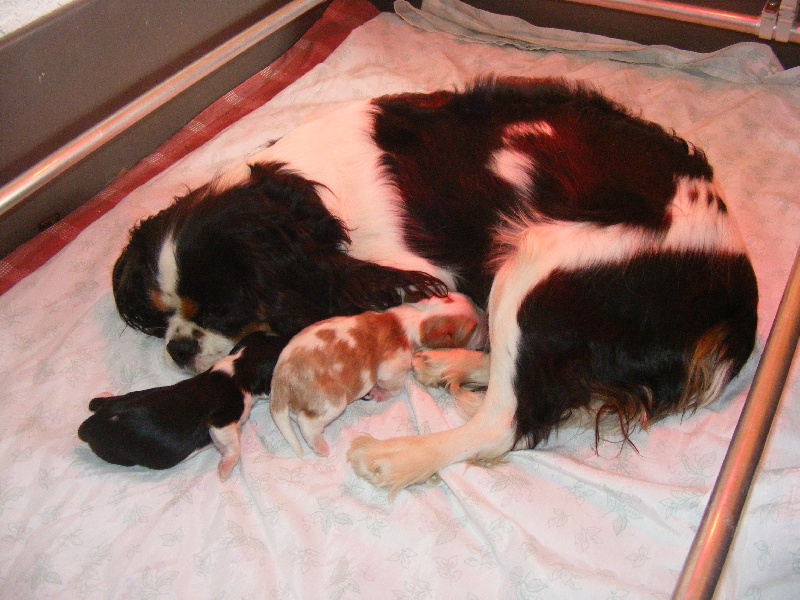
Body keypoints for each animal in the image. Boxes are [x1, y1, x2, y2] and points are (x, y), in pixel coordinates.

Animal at [268, 292, 484, 458]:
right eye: (474, 329)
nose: (485, 314)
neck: (419, 317)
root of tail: (282, 372)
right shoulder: (393, 368)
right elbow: (393, 386)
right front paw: (381, 393)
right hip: (332, 402)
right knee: (308, 424)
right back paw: (321, 447)